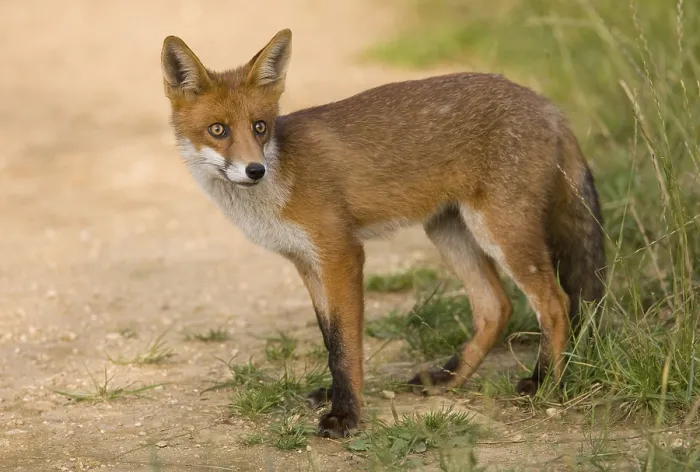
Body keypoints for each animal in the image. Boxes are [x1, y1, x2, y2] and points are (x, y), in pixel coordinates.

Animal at [160, 29, 606, 438]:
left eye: (260, 127)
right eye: (218, 130)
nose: (255, 170)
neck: (278, 185)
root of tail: (546, 103)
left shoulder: (341, 254)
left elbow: (346, 347)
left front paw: (346, 416)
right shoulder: (306, 261)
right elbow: (331, 340)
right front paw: (337, 396)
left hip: (500, 230)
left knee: (556, 303)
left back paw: (544, 382)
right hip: (448, 231)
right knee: (495, 307)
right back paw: (450, 378)